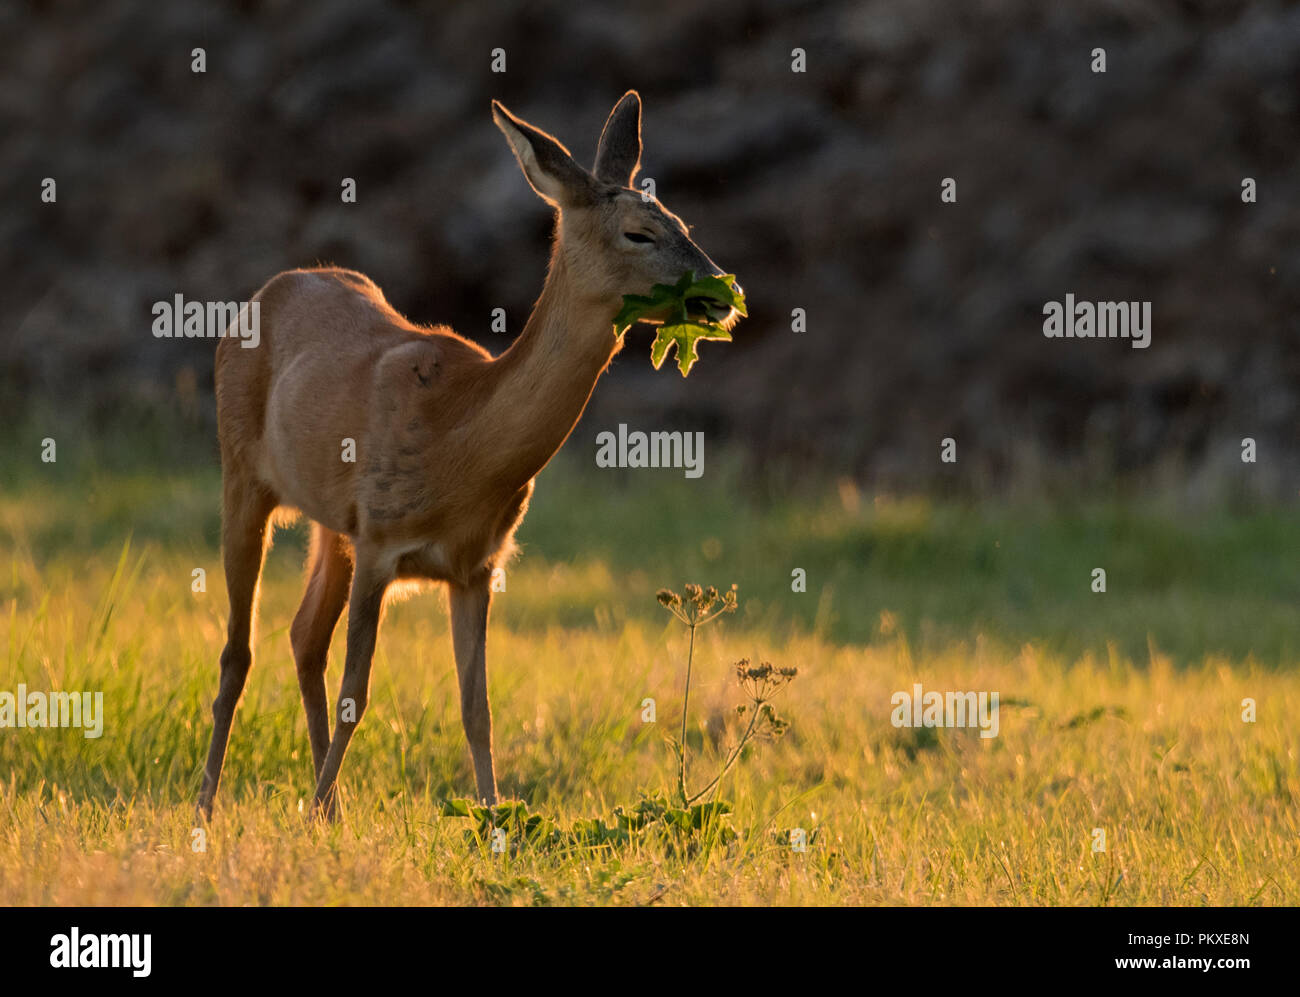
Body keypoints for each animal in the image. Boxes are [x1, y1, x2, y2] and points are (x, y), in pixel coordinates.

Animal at [196, 91, 741, 819]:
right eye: (639, 233)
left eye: (682, 220)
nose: (721, 293)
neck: (462, 443)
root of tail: (267, 291)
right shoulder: (381, 541)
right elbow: (356, 695)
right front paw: (318, 811)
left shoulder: (475, 566)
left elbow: (476, 707)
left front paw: (491, 819)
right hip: (241, 474)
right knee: (239, 648)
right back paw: (208, 803)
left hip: (331, 525)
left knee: (303, 636)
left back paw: (325, 805)